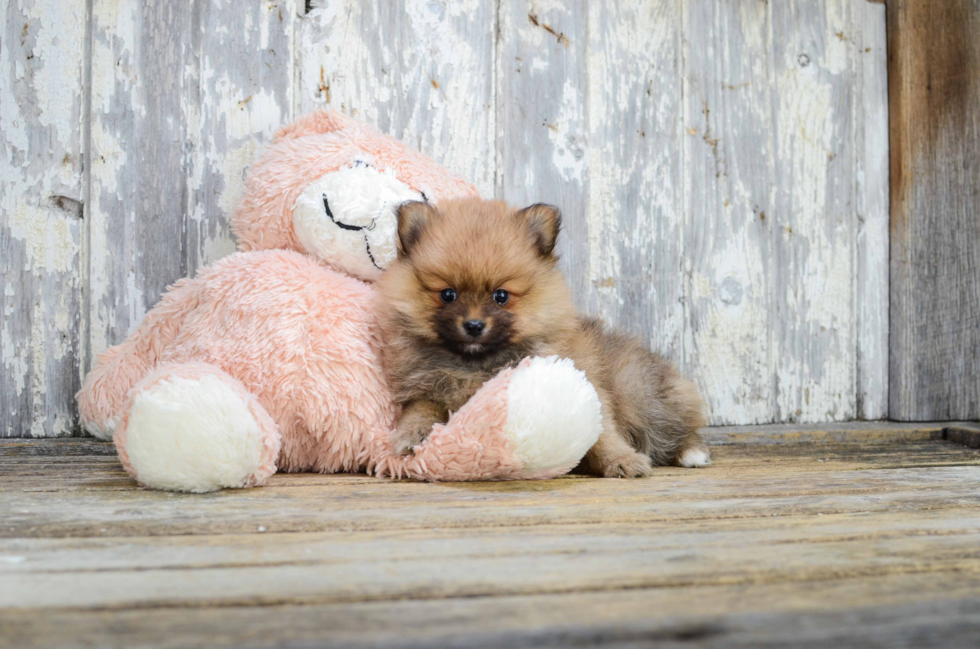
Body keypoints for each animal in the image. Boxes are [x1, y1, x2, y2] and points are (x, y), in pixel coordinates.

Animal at [378, 197, 712, 476]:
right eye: (448, 294)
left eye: (501, 296)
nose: (473, 325)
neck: (476, 365)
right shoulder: (426, 389)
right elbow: (420, 410)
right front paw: (411, 435)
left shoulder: (588, 390)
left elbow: (603, 434)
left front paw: (621, 460)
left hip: (639, 392)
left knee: (674, 426)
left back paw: (691, 453)